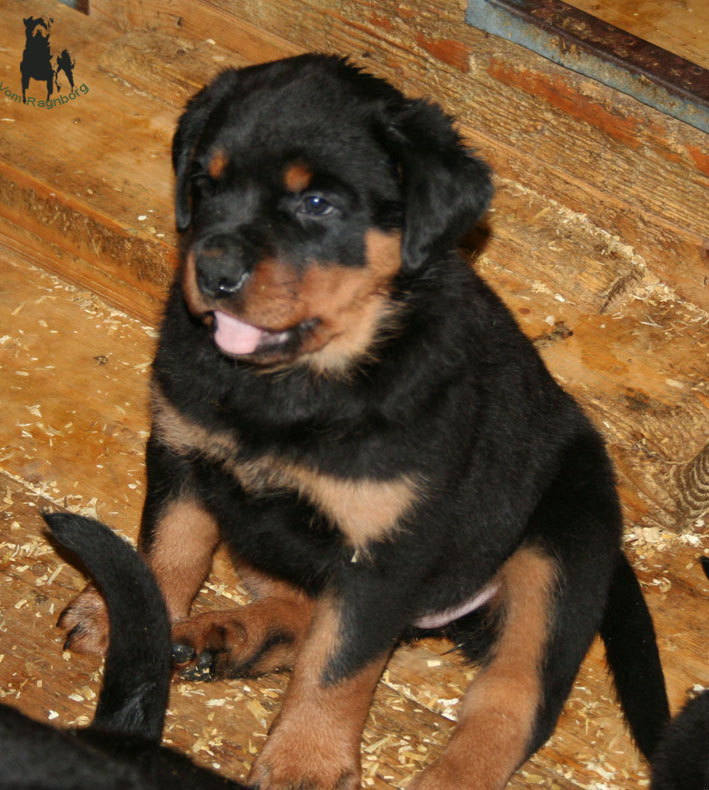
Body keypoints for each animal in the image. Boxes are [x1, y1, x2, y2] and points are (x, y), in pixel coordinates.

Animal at [59, 54, 670, 789]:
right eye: (205, 184)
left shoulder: (382, 549)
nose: (212, 273)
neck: (297, 383)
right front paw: (123, 619)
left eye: (317, 204)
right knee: (300, 608)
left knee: (512, 702)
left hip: (557, 553)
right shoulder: (183, 455)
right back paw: (227, 637)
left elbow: (340, 663)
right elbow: (167, 552)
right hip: (261, 532)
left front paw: (304, 761)